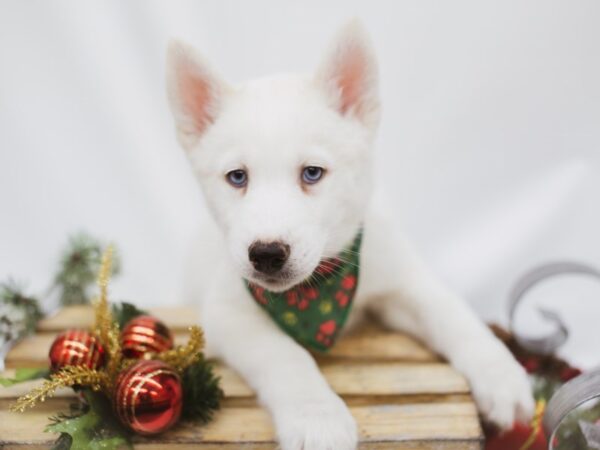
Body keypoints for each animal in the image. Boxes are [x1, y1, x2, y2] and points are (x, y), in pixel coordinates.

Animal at [165, 22, 536, 450]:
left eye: (312, 173)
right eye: (237, 177)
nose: (267, 254)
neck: (315, 294)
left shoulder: (401, 280)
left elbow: (452, 312)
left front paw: (501, 377)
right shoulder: (226, 312)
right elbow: (285, 355)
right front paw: (316, 417)